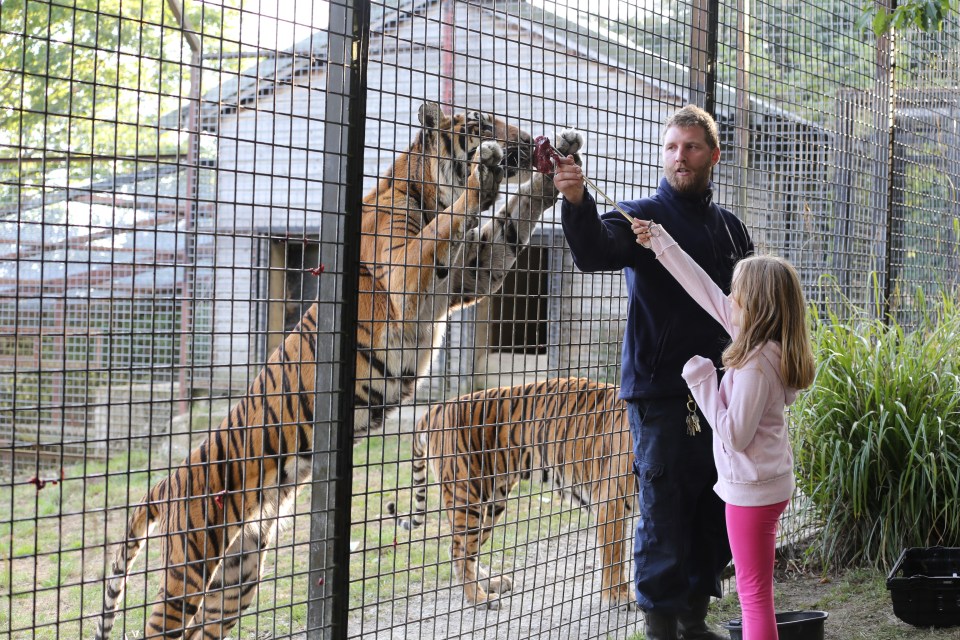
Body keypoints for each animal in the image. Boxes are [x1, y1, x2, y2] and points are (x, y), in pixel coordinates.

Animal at [94, 102, 584, 636]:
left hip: (238, 573)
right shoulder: (411, 277)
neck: (428, 188)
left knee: (204, 626)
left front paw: (555, 173)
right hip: (194, 559)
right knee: (158, 625)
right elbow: (449, 223)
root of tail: (167, 482)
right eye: (480, 124)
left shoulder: (469, 274)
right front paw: (486, 173)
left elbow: (512, 224)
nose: (528, 141)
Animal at [386, 378, 640, 612]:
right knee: (459, 551)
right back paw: (479, 599)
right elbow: (615, 554)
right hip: (467, 495)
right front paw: (619, 596)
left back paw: (491, 583)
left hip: (493, 502)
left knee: (462, 549)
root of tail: (437, 408)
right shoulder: (611, 502)